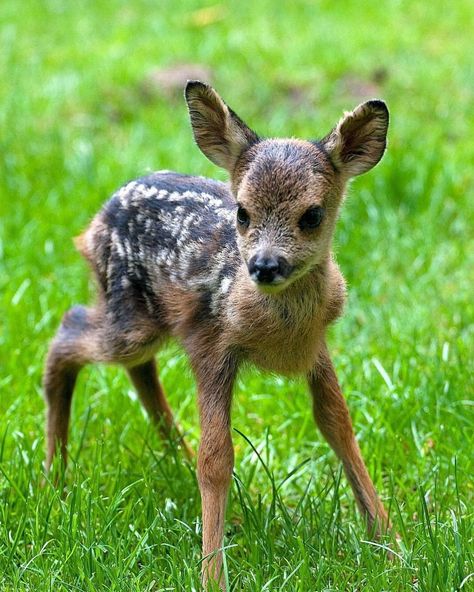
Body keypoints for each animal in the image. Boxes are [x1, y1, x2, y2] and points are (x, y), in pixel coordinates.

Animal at [44, 81, 390, 588]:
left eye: (312, 215)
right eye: (242, 212)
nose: (264, 265)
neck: (279, 331)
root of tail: (93, 224)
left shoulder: (316, 347)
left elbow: (337, 423)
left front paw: (390, 542)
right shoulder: (211, 346)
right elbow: (216, 459)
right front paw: (212, 576)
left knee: (136, 368)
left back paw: (176, 462)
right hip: (130, 318)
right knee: (69, 329)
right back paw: (54, 476)